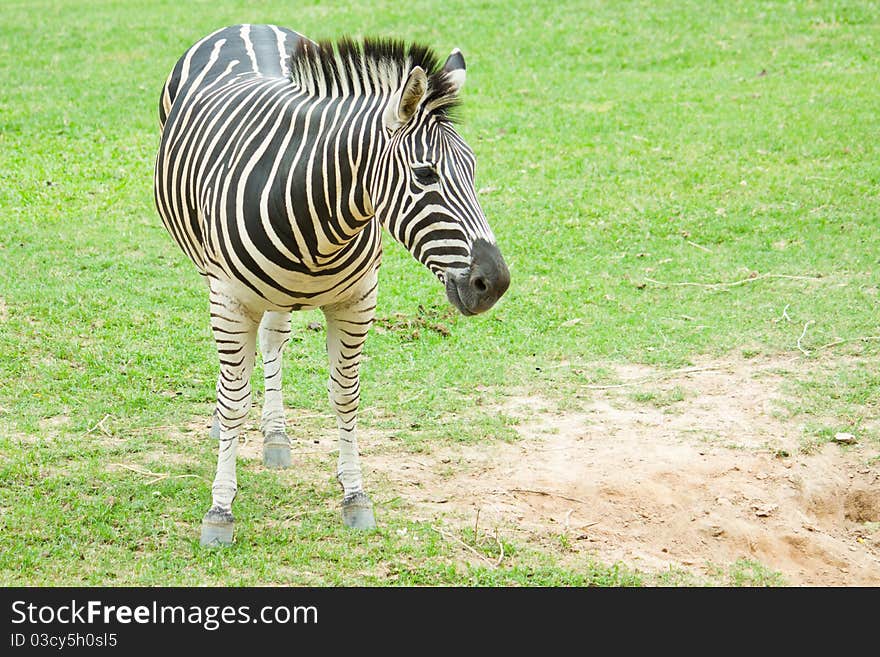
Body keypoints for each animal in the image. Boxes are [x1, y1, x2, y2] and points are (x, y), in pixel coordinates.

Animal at [152, 24, 508, 544]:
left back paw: (276, 434)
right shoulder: (231, 299)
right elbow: (234, 400)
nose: (494, 283)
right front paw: (220, 509)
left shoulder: (357, 301)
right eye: (425, 174)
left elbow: (346, 396)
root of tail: (249, 25)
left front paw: (355, 496)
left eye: (475, 169)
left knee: (272, 339)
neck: (321, 216)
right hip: (213, 274)